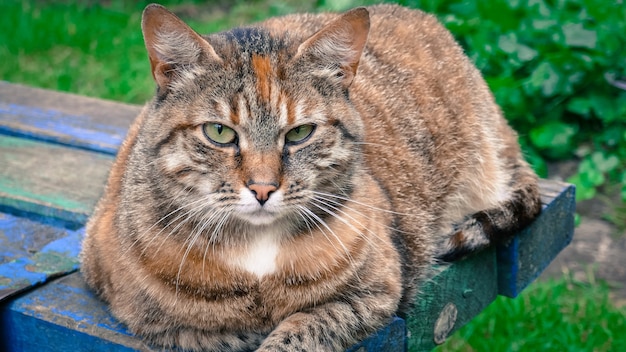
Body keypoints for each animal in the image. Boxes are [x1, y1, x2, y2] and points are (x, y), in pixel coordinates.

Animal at [80, 3, 540, 352]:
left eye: (300, 133)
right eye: (219, 132)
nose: (263, 188)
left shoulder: (377, 294)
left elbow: (300, 330)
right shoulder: (149, 318)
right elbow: (217, 332)